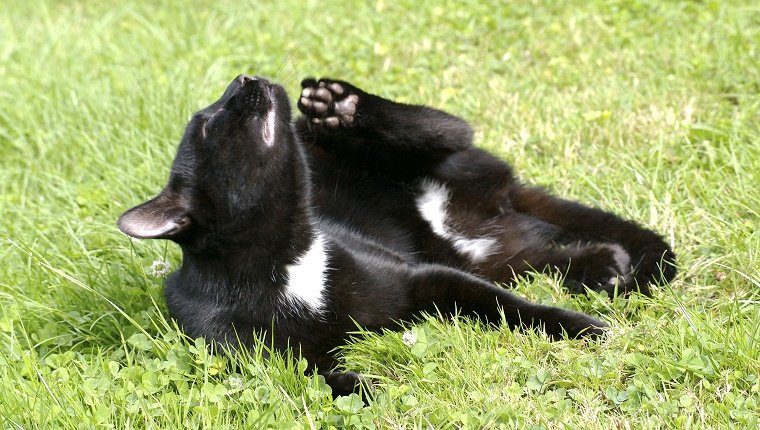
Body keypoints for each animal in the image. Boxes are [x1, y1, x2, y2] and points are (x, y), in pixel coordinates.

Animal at [119, 74, 676, 396]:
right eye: (208, 124)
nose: (243, 76)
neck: (288, 262)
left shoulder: (422, 278)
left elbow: (511, 308)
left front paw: (583, 328)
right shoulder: (249, 356)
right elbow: (312, 376)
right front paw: (366, 385)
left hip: (438, 164)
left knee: (440, 127)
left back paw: (338, 105)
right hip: (493, 256)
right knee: (545, 253)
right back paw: (604, 266)